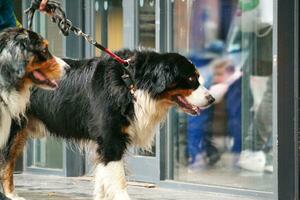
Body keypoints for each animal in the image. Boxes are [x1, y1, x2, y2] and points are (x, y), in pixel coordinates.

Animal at [1, 48, 214, 200]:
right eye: (190, 78)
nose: (211, 99)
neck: (132, 85)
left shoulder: (105, 143)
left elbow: (103, 180)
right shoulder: (110, 139)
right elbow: (118, 180)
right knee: (7, 164)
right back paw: (12, 195)